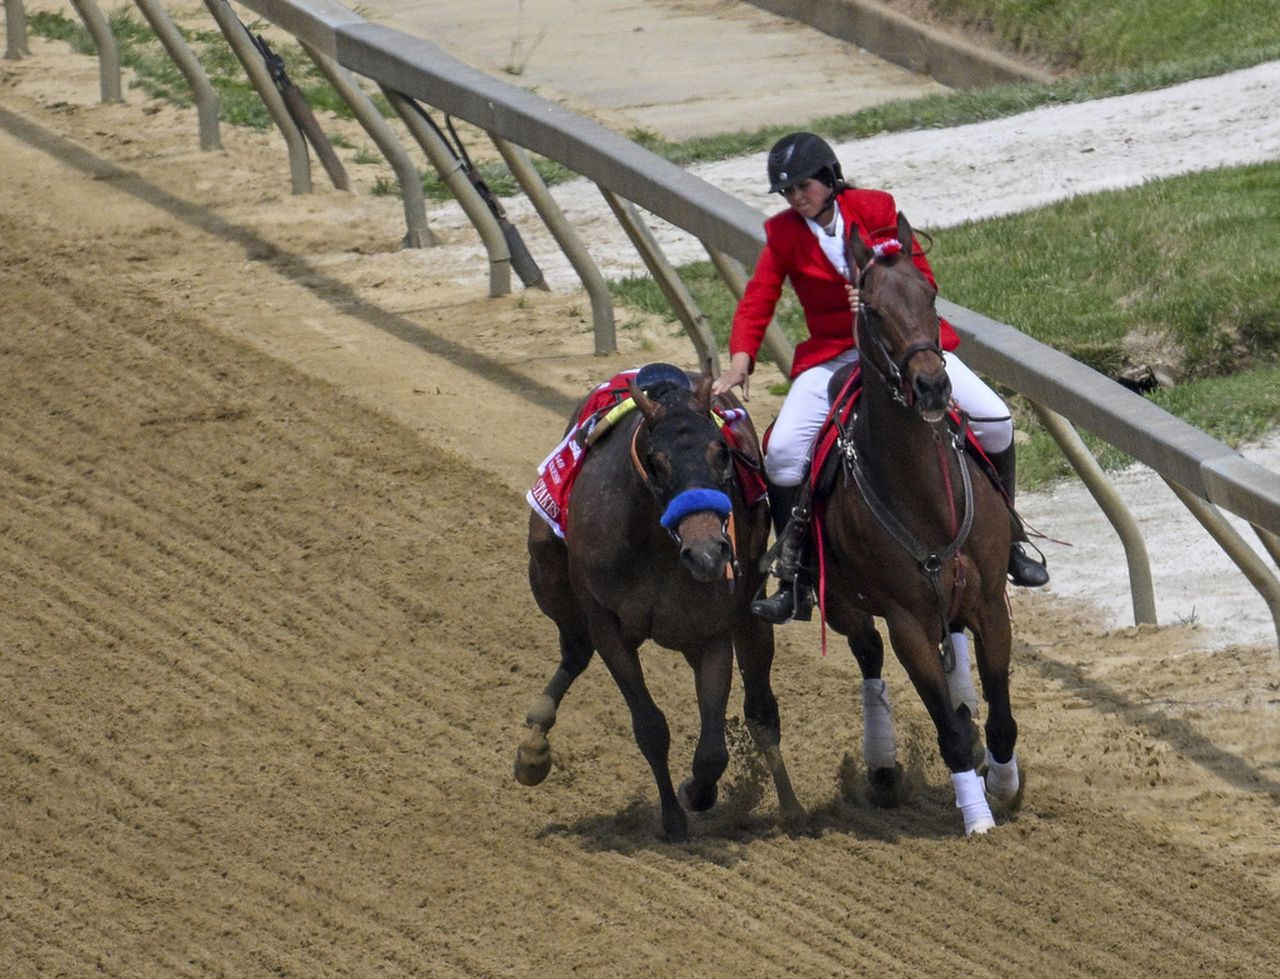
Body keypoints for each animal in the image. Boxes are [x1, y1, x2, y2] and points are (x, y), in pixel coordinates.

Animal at [517, 366, 798, 839]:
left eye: (721, 453)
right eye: (656, 461)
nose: (707, 553)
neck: (657, 546)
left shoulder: (712, 632)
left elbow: (712, 752)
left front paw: (695, 791)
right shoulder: (607, 623)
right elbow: (650, 725)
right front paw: (672, 818)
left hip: (748, 618)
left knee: (762, 710)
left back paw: (792, 807)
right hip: (548, 571)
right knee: (575, 648)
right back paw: (534, 747)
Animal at [819, 213, 1029, 834]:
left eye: (929, 296)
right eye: (871, 310)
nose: (933, 385)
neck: (926, 497)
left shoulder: (989, 602)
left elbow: (1000, 717)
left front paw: (1003, 783)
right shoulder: (906, 621)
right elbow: (949, 732)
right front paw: (977, 816)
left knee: (952, 647)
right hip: (844, 606)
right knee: (868, 656)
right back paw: (885, 766)